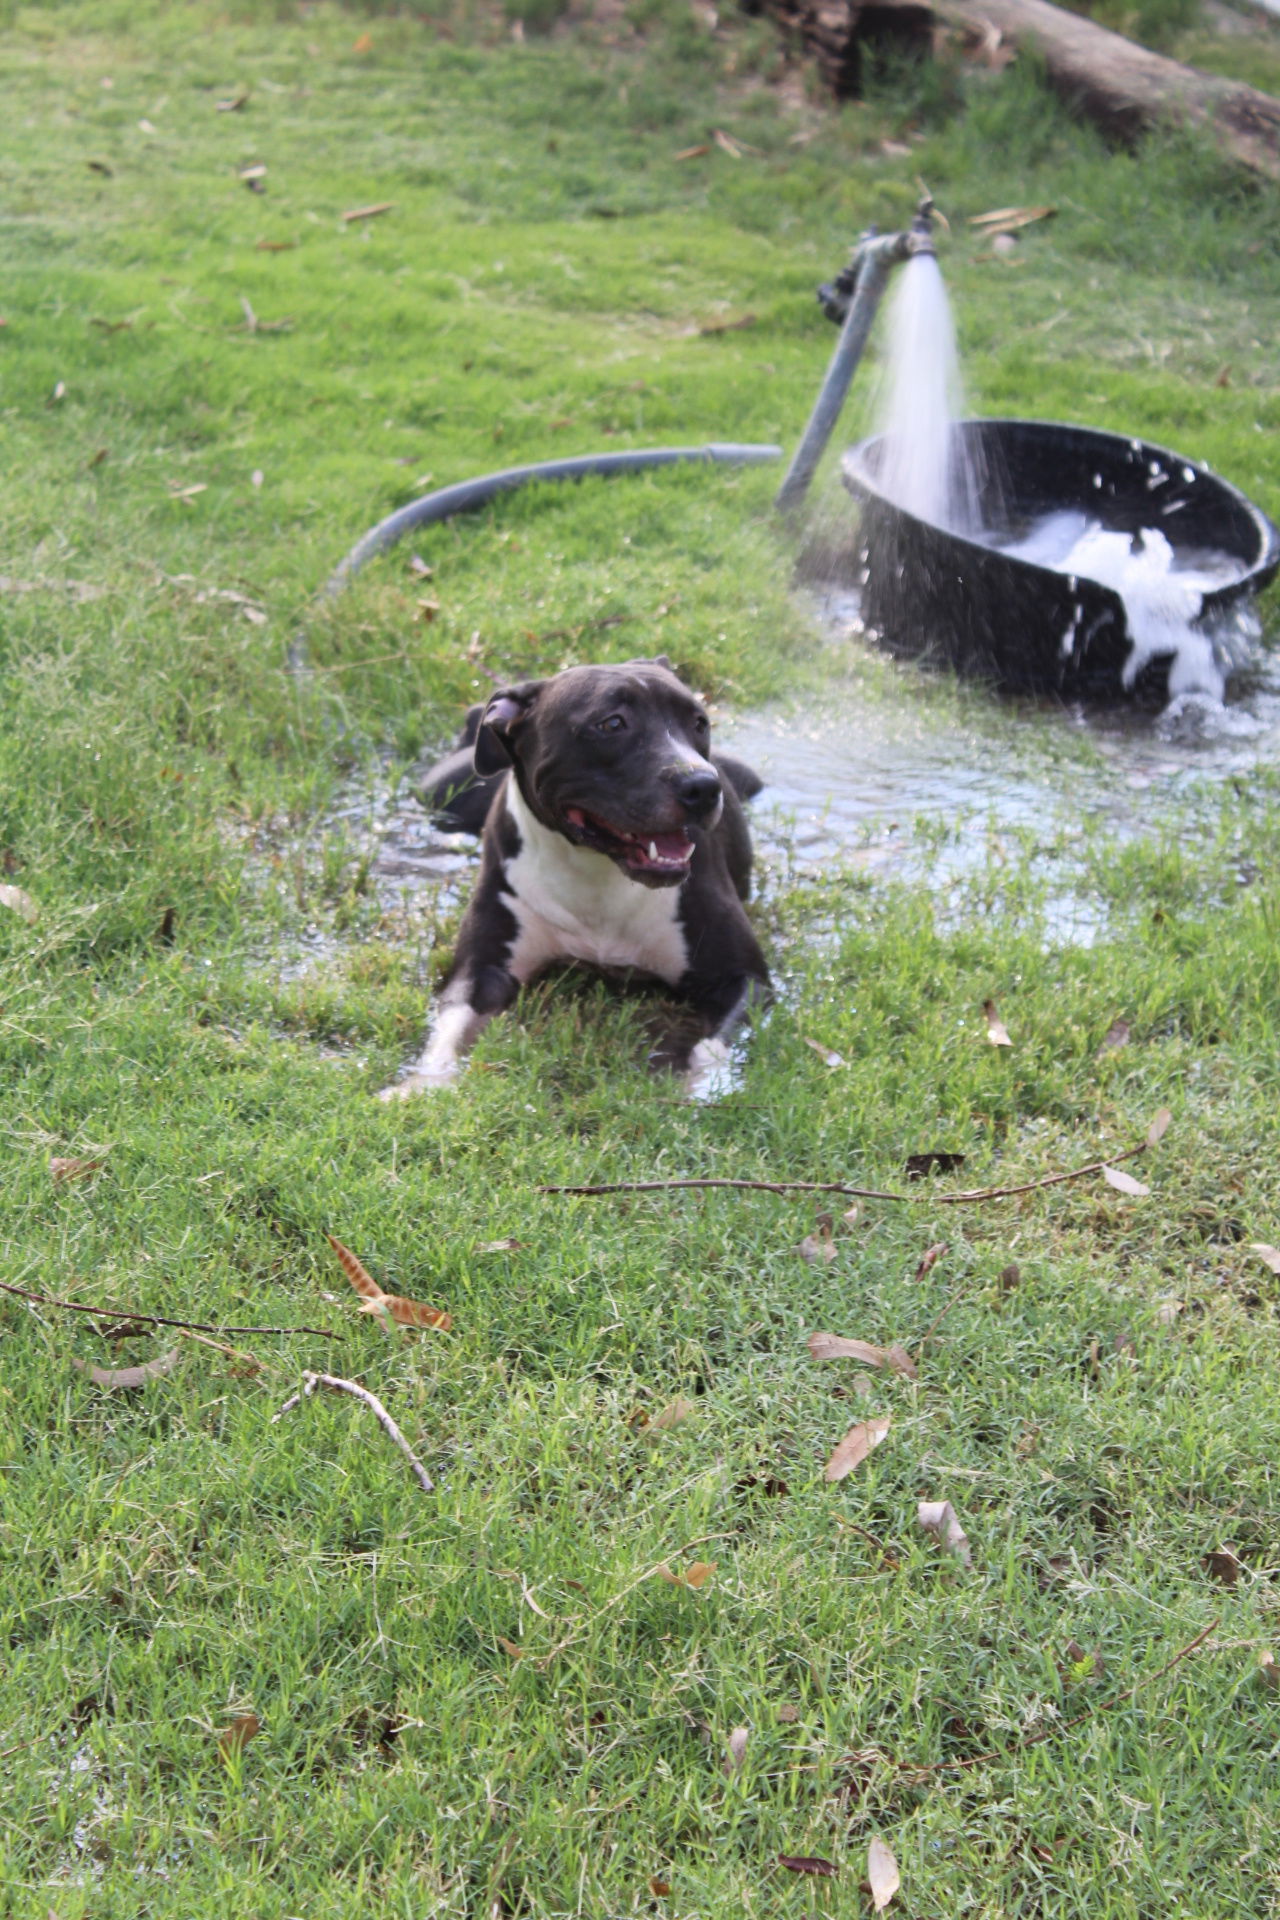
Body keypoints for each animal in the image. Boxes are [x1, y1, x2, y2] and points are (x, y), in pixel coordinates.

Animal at [379, 652, 771, 1098]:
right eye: (612, 724)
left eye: (700, 722)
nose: (702, 785)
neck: (596, 869)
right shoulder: (480, 969)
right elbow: (449, 1028)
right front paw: (424, 1083)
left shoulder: (743, 979)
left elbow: (711, 1047)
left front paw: (700, 1089)